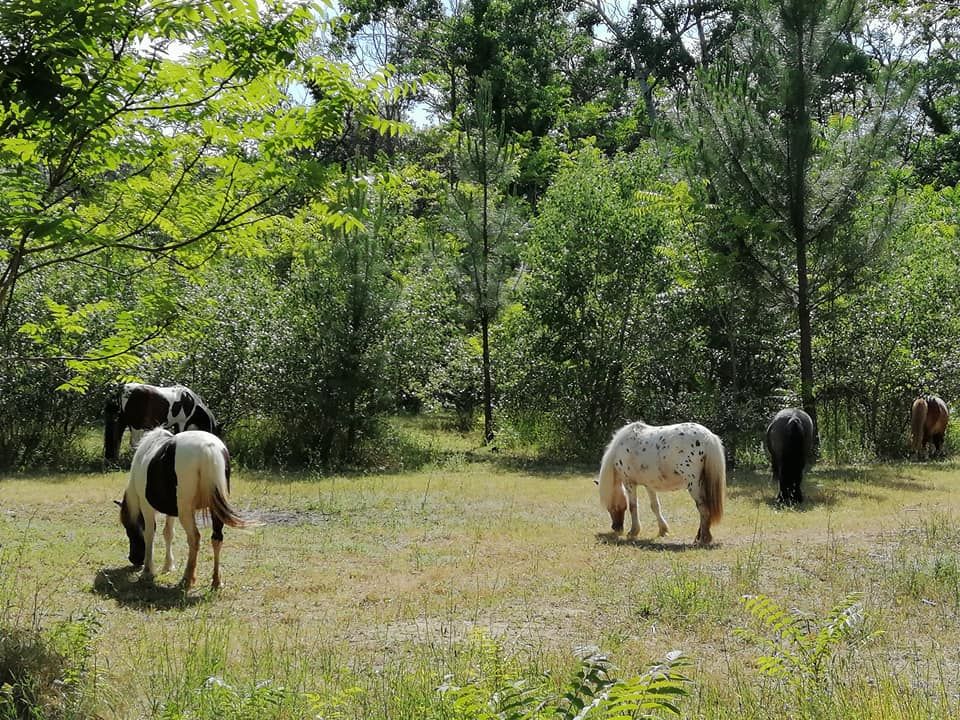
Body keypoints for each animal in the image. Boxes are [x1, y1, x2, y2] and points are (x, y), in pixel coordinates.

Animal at [117, 428, 255, 592]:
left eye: (128, 530)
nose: (134, 560)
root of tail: (208, 448)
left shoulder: (146, 507)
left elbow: (149, 534)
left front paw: (147, 571)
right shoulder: (171, 510)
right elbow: (168, 533)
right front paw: (168, 566)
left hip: (186, 512)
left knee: (194, 538)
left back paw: (187, 579)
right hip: (215, 509)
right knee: (217, 538)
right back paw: (216, 581)